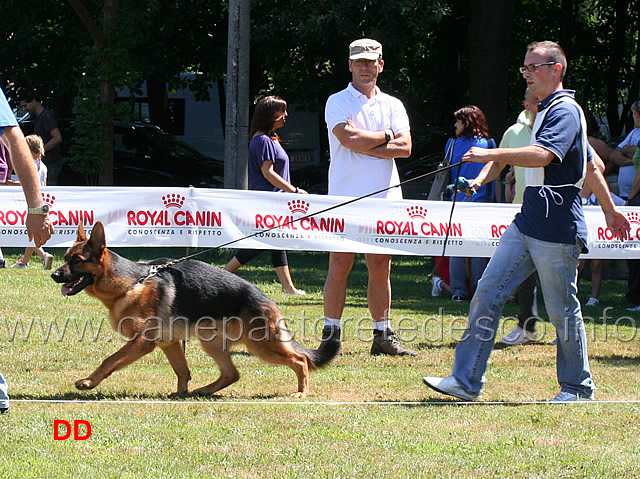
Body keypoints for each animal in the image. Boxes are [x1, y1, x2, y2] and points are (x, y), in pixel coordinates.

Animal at [51, 223, 340, 400]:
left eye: (77, 261)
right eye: (65, 258)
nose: (53, 274)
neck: (131, 282)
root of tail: (267, 300)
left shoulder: (143, 342)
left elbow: (109, 360)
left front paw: (88, 382)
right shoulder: (169, 342)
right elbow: (182, 371)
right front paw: (181, 392)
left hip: (260, 346)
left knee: (299, 361)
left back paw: (302, 392)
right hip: (211, 342)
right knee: (232, 374)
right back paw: (203, 390)